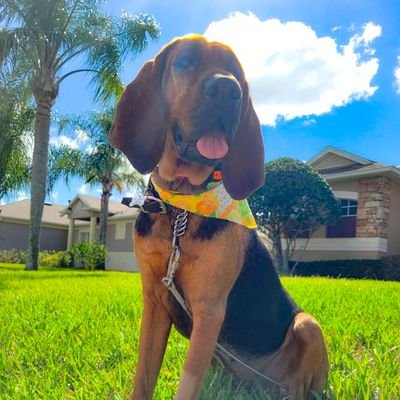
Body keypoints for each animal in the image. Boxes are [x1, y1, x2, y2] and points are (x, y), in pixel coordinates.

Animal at [110, 34, 328, 400]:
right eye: (184, 62)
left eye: (236, 73)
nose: (227, 89)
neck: (181, 210)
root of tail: (258, 383)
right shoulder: (154, 302)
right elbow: (143, 379)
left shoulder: (209, 311)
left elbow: (186, 385)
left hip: (307, 325)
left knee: (298, 386)